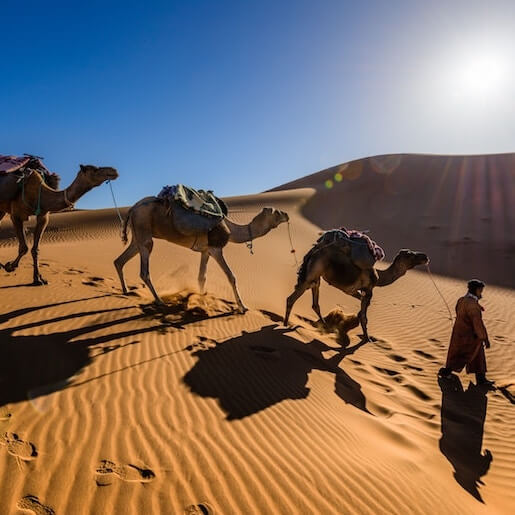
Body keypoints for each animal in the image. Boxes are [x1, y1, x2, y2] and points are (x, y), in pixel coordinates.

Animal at [114, 197, 290, 310]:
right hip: (144, 230)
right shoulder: (216, 249)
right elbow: (231, 276)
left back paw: (126, 291)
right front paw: (243, 307)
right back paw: (159, 301)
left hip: (138, 235)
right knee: (144, 269)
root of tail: (132, 208)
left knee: (120, 260)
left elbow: (201, 277)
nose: (287, 215)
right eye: (276, 212)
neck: (230, 229)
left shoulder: (206, 251)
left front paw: (201, 298)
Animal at [284, 233, 430, 338]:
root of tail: (313, 251)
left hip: (316, 278)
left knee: (315, 303)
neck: (379, 277)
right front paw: (367, 338)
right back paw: (286, 324)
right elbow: (365, 316)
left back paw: (325, 326)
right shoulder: (369, 290)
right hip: (312, 275)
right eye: (410, 255)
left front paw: (358, 320)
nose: (425, 256)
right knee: (291, 298)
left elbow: (363, 306)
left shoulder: (354, 291)